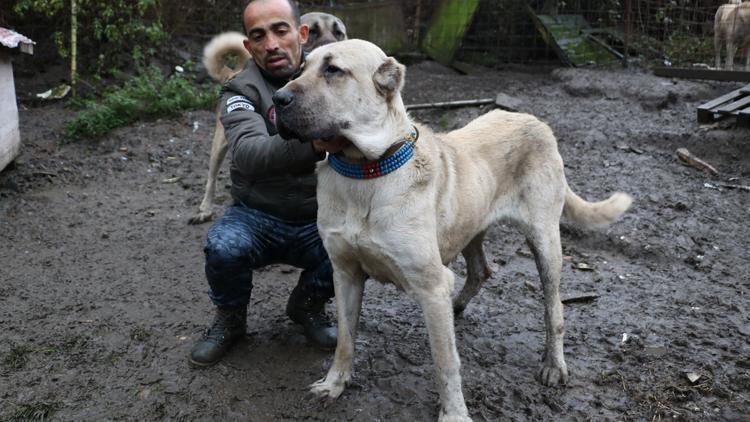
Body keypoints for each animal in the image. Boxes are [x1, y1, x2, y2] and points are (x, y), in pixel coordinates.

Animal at [191, 12, 350, 224]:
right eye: (313, 31)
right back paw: (205, 209)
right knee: (212, 177)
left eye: (339, 33)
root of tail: (234, 72)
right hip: (219, 145)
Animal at [274, 40, 632, 422]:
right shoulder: (345, 273)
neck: (366, 171)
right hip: (471, 227)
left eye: (333, 70)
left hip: (545, 242)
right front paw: (334, 384)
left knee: (554, 308)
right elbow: (345, 339)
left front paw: (455, 413)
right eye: (300, 68)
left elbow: (445, 361)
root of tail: (535, 120)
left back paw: (553, 365)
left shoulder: (431, 286)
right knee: (481, 270)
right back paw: (459, 304)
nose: (278, 99)